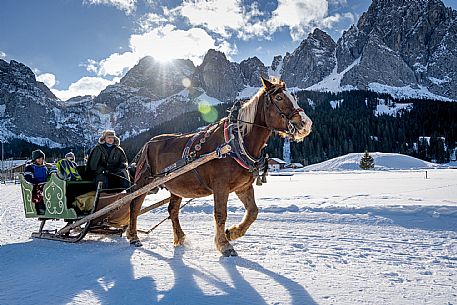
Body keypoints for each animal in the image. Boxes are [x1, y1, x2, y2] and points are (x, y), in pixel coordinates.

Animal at [128, 77, 314, 255]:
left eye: (294, 97)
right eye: (279, 97)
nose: (306, 124)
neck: (235, 141)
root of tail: (148, 143)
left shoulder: (243, 186)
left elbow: (253, 212)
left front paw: (232, 233)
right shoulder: (220, 185)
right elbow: (220, 214)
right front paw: (224, 245)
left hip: (176, 186)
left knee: (172, 211)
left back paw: (180, 238)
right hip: (143, 182)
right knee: (134, 205)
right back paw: (133, 236)